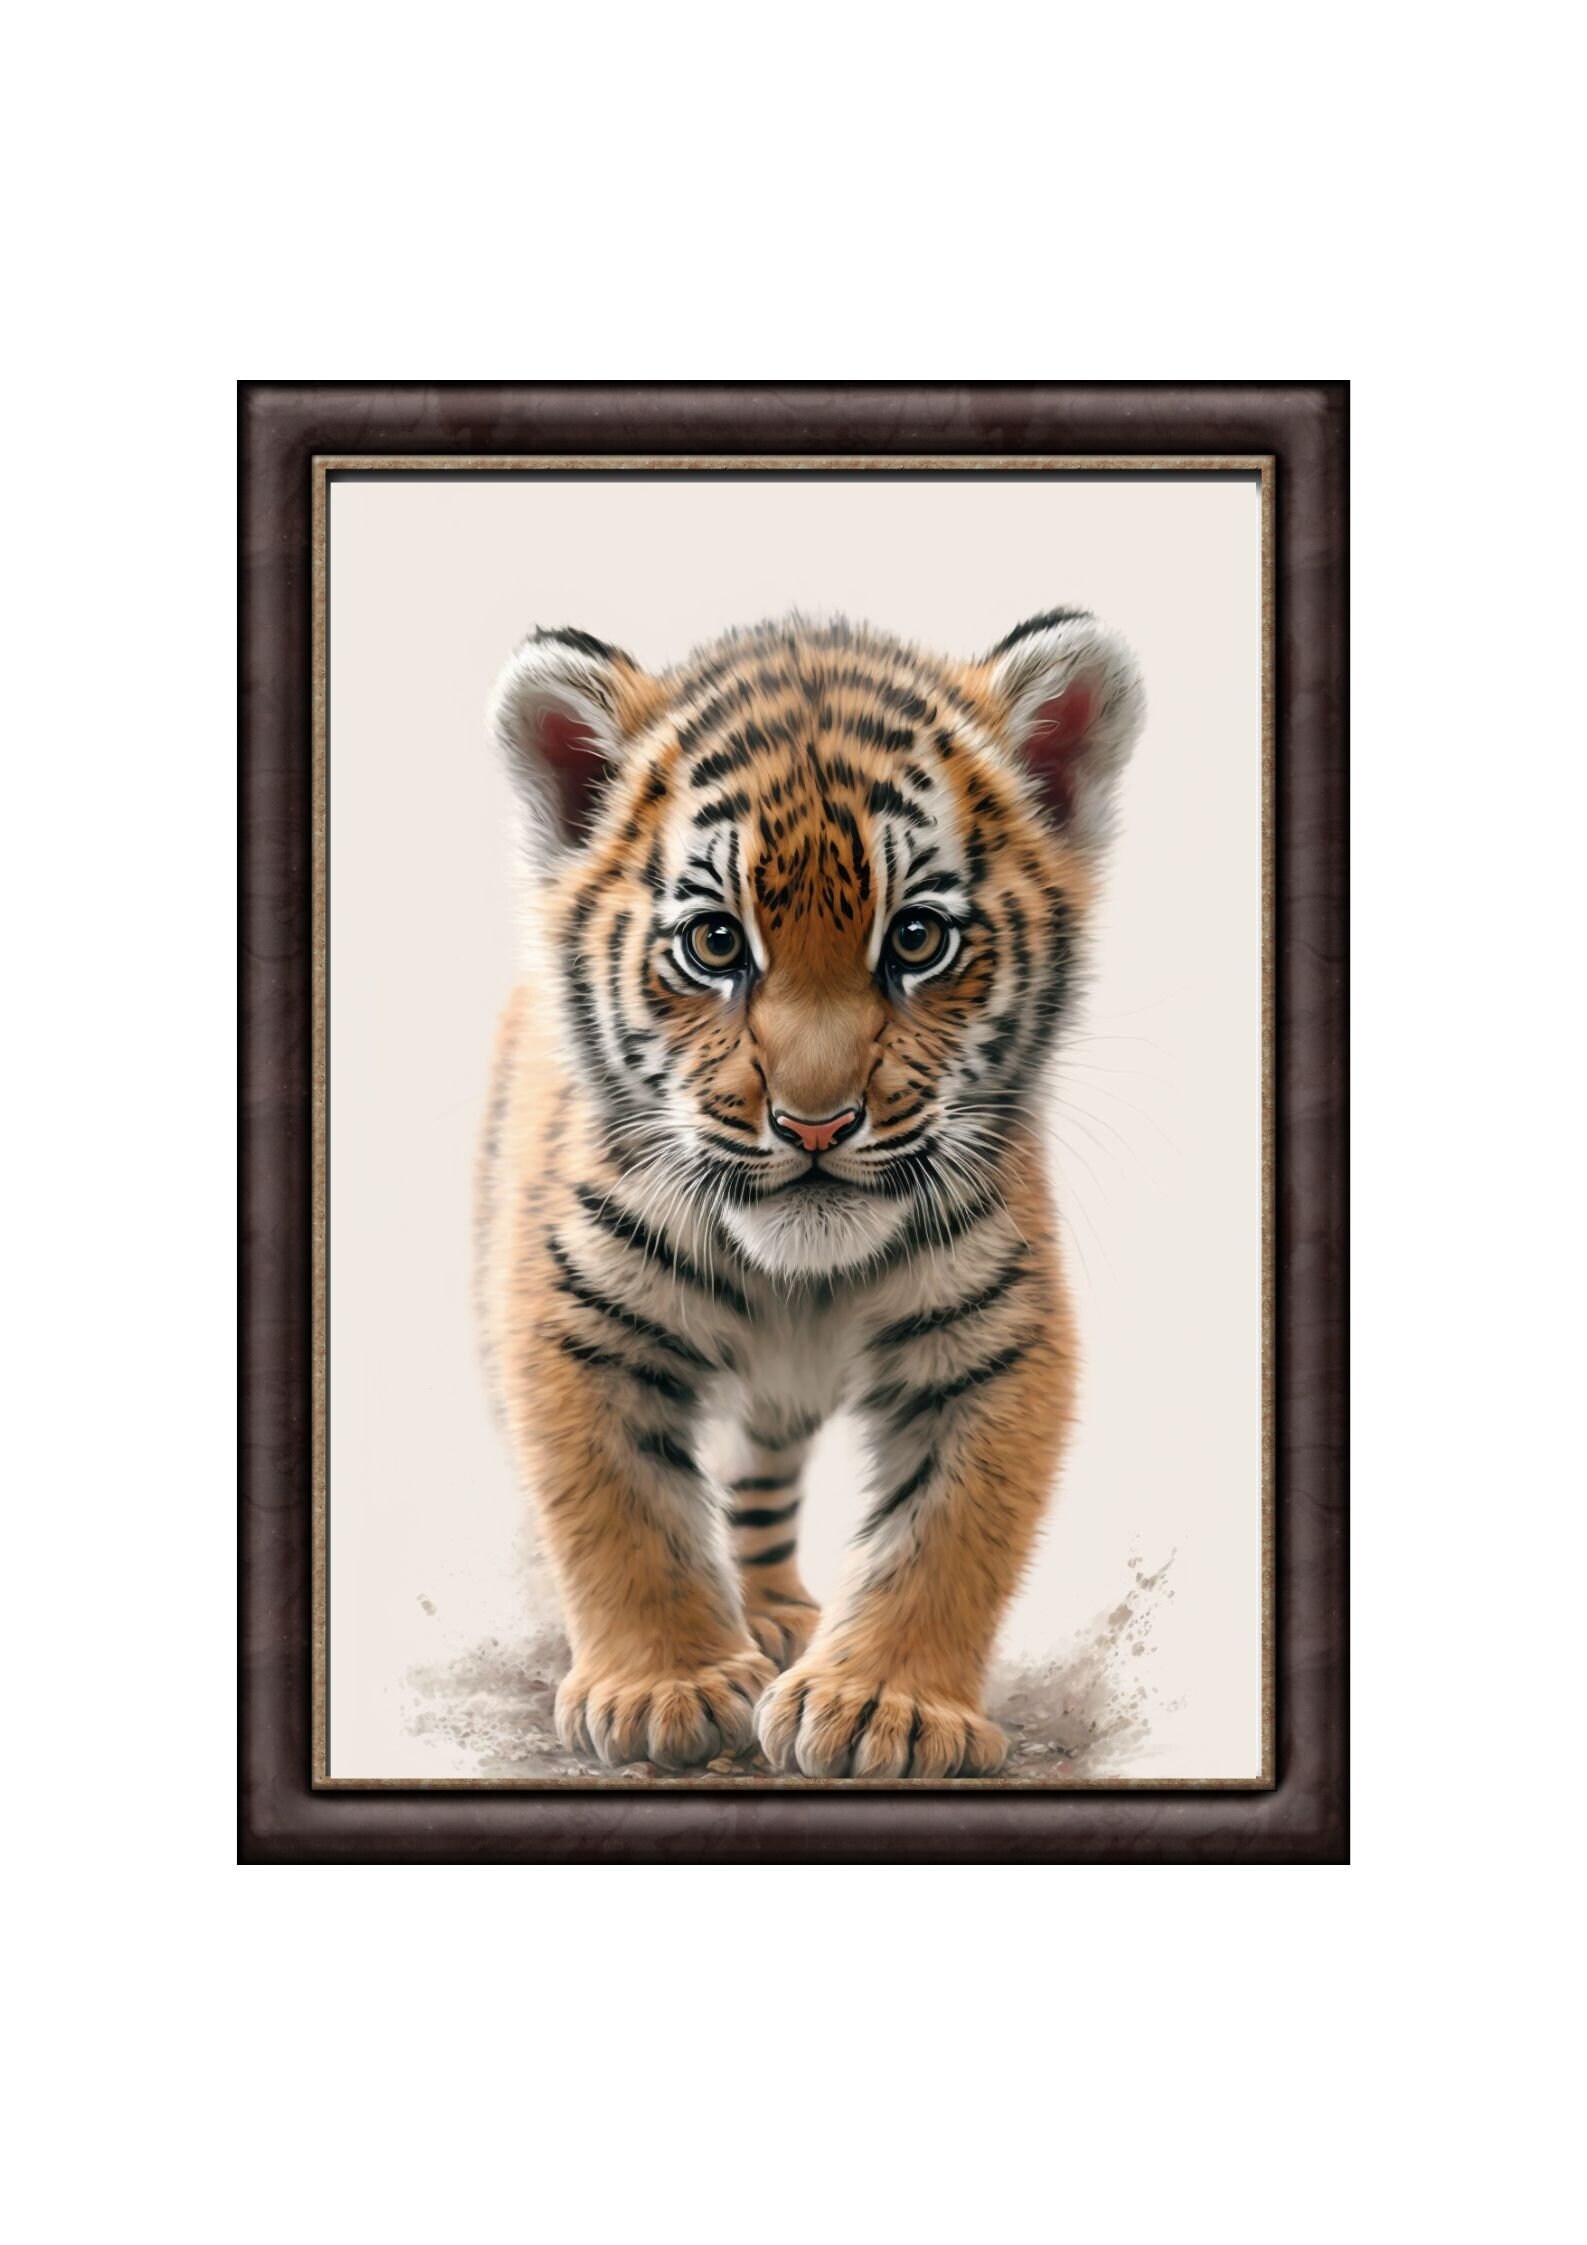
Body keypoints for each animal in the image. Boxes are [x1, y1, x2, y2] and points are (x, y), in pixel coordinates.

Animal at [475, 608, 1145, 1778]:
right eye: (716, 942)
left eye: (916, 937)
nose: (818, 1124)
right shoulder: (573, 1317)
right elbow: (619, 1507)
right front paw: (669, 1685)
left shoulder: (996, 1333)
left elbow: (948, 1530)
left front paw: (885, 1704)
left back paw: (778, 1615)